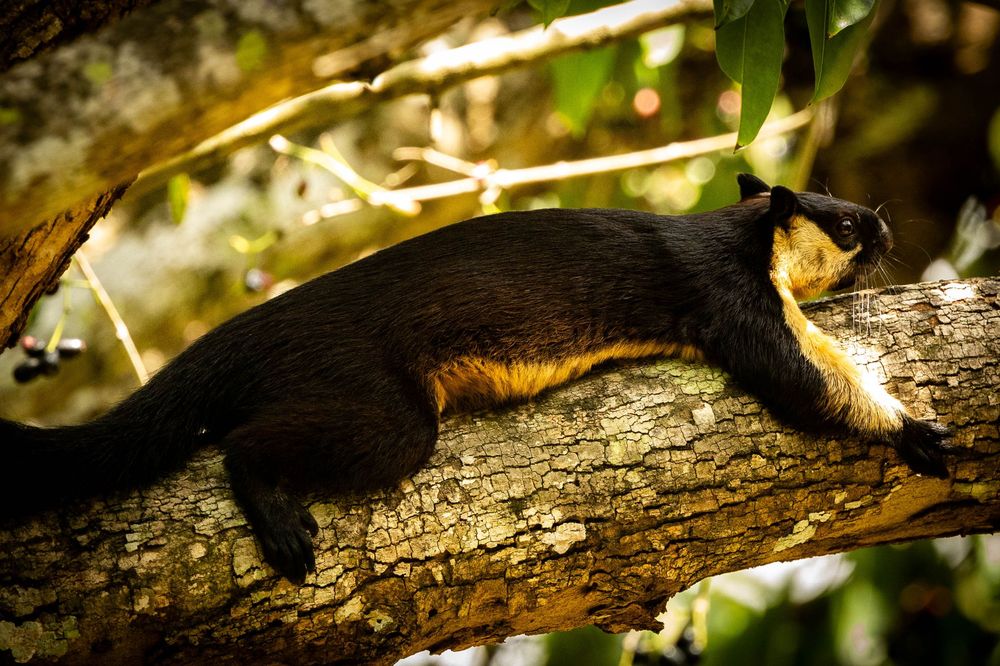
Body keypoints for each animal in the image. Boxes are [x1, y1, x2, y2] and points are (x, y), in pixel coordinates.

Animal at [0, 174, 951, 582]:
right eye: (843, 223)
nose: (884, 223)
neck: (742, 239)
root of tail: (253, 328)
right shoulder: (733, 302)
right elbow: (811, 379)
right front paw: (915, 430)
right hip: (382, 413)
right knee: (242, 446)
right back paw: (279, 521)